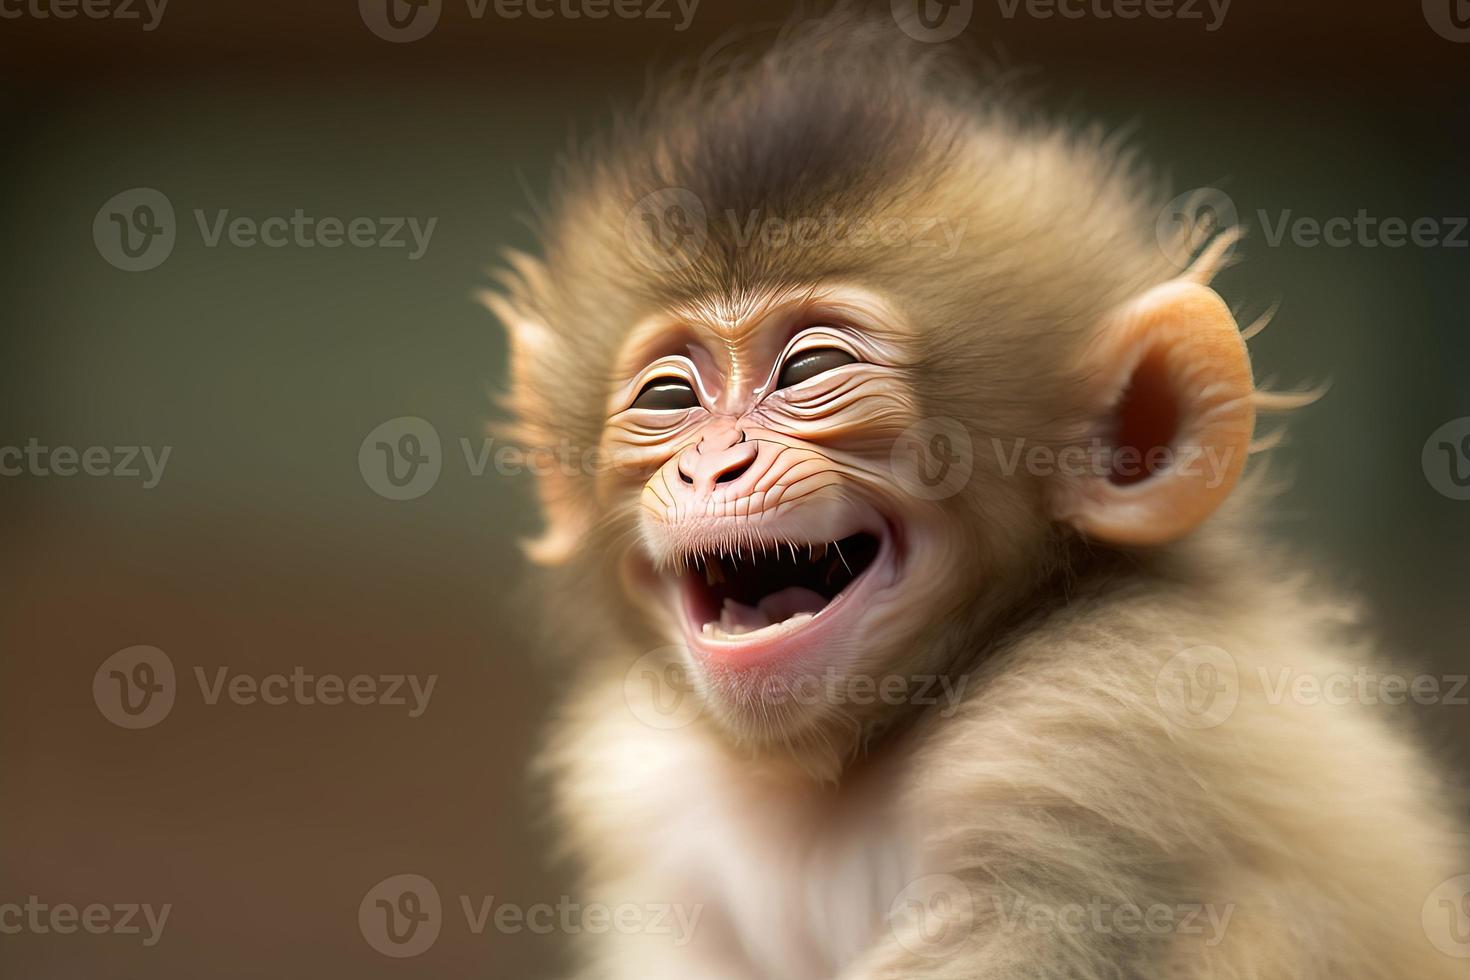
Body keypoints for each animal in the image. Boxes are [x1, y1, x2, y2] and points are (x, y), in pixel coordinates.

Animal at [485, 9, 1470, 980]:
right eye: (667, 397)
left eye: (809, 368)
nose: (710, 468)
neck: (840, 775)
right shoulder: (649, 798)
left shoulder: (1090, 731)